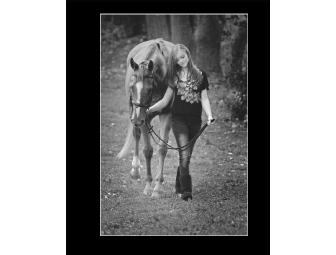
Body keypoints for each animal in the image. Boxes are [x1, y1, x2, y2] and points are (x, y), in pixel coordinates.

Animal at [117, 38, 176, 197]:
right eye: (132, 87)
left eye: (149, 90)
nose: (137, 119)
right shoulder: (143, 119)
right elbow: (148, 151)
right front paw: (148, 186)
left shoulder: (166, 114)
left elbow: (162, 149)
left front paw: (157, 187)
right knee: (136, 135)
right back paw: (135, 170)